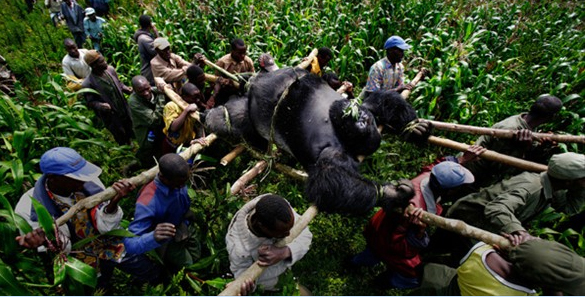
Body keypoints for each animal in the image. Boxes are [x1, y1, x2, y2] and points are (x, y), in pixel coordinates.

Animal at [205, 67, 428, 213]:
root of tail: (254, 83)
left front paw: (414, 128)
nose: (359, 119)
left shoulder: (363, 112)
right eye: (359, 121)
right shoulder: (336, 147)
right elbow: (329, 182)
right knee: (234, 117)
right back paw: (217, 114)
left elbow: (384, 101)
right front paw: (390, 194)